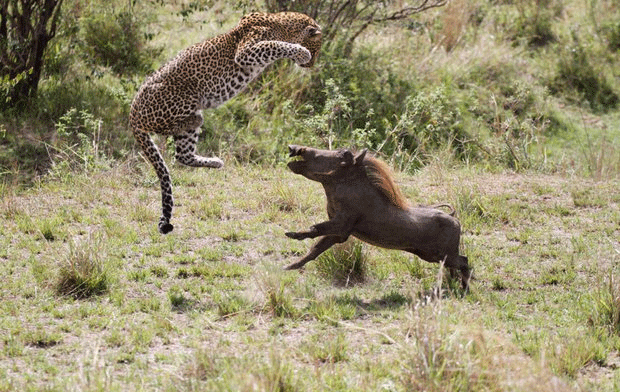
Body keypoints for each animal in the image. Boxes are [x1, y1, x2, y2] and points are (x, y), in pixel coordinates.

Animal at [131, 11, 324, 233]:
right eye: (316, 49)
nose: (311, 64)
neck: (283, 26)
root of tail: (132, 109)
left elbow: (275, 44)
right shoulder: (246, 51)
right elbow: (275, 45)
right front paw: (301, 52)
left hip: (184, 131)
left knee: (182, 155)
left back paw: (215, 161)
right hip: (182, 98)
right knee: (165, 126)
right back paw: (193, 119)